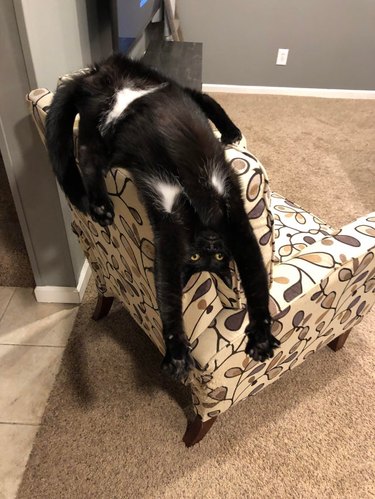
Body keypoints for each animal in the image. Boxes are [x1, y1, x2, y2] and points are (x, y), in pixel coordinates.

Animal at [46, 53, 280, 378]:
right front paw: (179, 351)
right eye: (196, 257)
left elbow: (251, 282)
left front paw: (259, 337)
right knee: (203, 100)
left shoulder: (210, 223)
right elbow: (174, 290)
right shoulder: (196, 223)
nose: (210, 242)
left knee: (88, 153)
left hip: (102, 123)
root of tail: (96, 73)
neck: (195, 211)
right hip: (146, 96)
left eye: (219, 257)